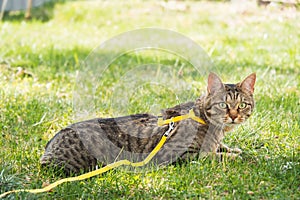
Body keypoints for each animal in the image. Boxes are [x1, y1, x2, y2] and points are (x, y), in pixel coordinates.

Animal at [39, 72, 255, 173]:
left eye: (242, 105)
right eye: (223, 105)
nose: (234, 116)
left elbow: (222, 148)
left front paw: (232, 149)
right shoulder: (181, 155)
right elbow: (215, 156)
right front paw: (237, 157)